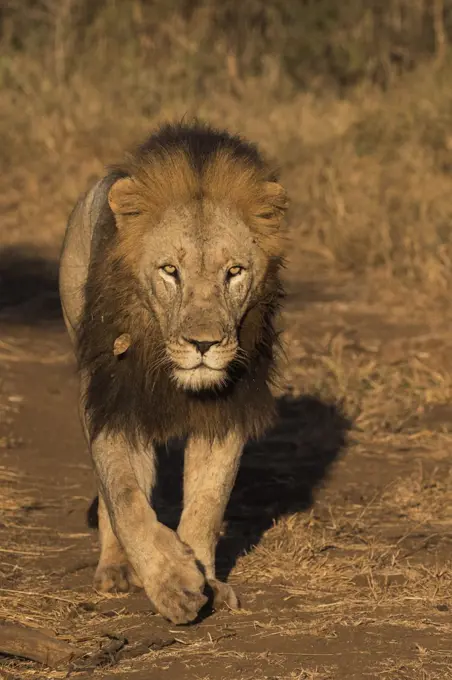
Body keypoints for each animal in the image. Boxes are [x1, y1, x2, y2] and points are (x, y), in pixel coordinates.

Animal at [58, 121, 288, 620]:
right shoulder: (114, 400)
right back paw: (116, 568)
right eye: (170, 271)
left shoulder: (226, 411)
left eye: (234, 271)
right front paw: (172, 582)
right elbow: (125, 498)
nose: (204, 345)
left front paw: (207, 579)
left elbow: (207, 501)